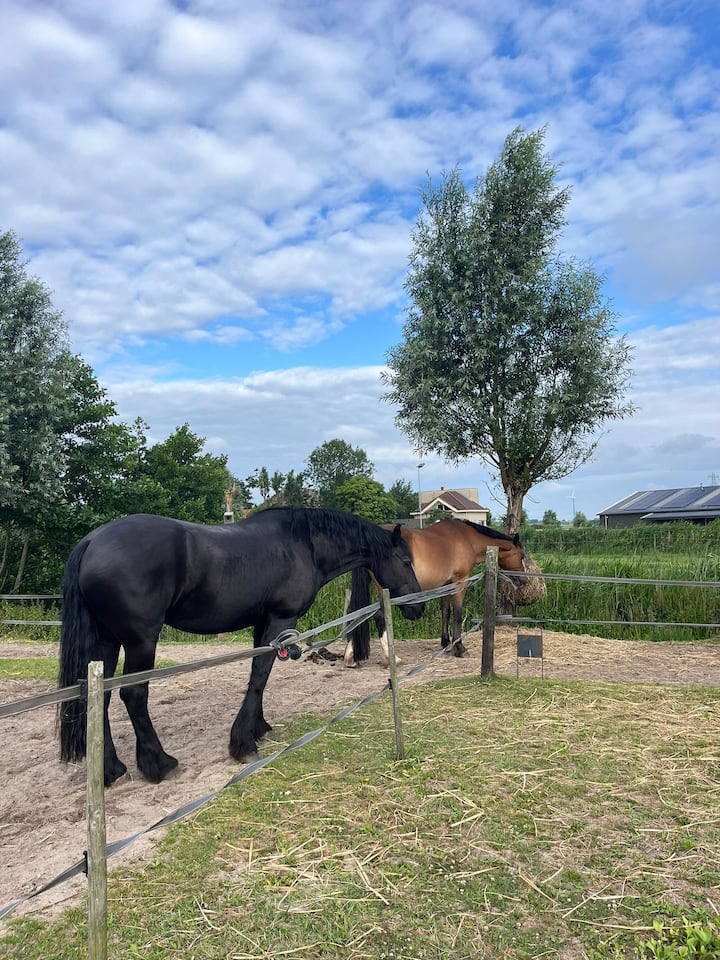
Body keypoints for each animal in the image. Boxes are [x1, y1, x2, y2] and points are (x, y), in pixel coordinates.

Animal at [57, 507, 425, 786]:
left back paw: (111, 770)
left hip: (106, 641)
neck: (302, 544)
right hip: (141, 641)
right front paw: (243, 743)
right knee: (133, 695)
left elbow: (257, 673)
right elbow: (261, 674)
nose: (417, 607)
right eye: (406, 561)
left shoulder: (263, 623)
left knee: (99, 698)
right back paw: (159, 763)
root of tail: (91, 542)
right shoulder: (280, 619)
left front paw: (257, 728)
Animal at [344, 518, 530, 666]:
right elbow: (457, 614)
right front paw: (460, 648)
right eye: (521, 556)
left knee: (354, 613)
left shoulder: (445, 585)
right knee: (379, 617)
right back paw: (391, 658)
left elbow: (445, 612)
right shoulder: (460, 582)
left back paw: (350, 657)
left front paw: (446, 643)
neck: (466, 538)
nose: (524, 581)